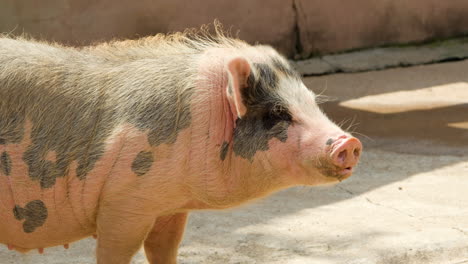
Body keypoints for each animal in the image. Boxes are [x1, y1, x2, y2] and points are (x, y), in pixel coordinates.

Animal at [0, 28, 362, 264]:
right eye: (278, 113)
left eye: (312, 101)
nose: (350, 142)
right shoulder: (124, 203)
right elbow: (115, 250)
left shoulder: (170, 207)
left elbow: (164, 248)